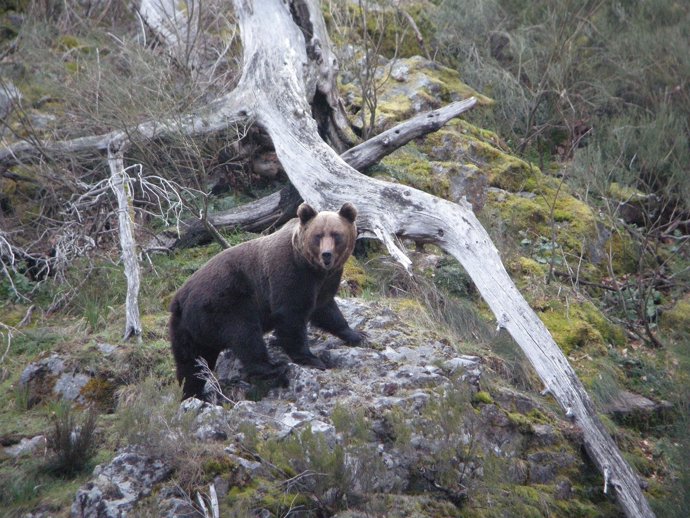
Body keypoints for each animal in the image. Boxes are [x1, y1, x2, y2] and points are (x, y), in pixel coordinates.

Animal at [168, 203, 360, 402]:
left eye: (336, 234)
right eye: (318, 235)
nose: (326, 255)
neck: (313, 268)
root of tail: (180, 298)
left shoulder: (324, 283)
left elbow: (327, 310)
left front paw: (355, 335)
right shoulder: (290, 275)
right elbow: (291, 316)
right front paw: (311, 358)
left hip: (186, 329)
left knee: (191, 363)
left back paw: (195, 394)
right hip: (225, 303)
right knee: (245, 335)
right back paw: (273, 367)